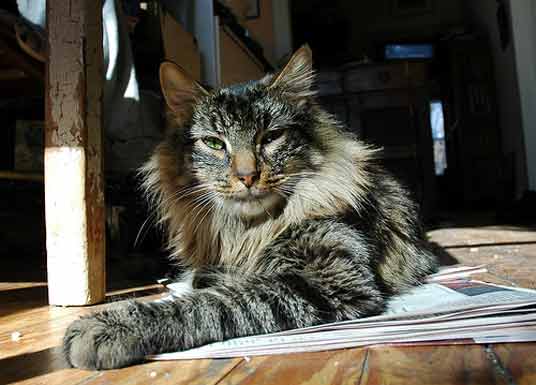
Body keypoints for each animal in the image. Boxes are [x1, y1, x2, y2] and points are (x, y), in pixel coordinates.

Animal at [63, 45, 440, 368]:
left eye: (271, 137)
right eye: (214, 143)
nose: (247, 176)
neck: (249, 232)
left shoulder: (328, 279)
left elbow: (214, 304)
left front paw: (109, 326)